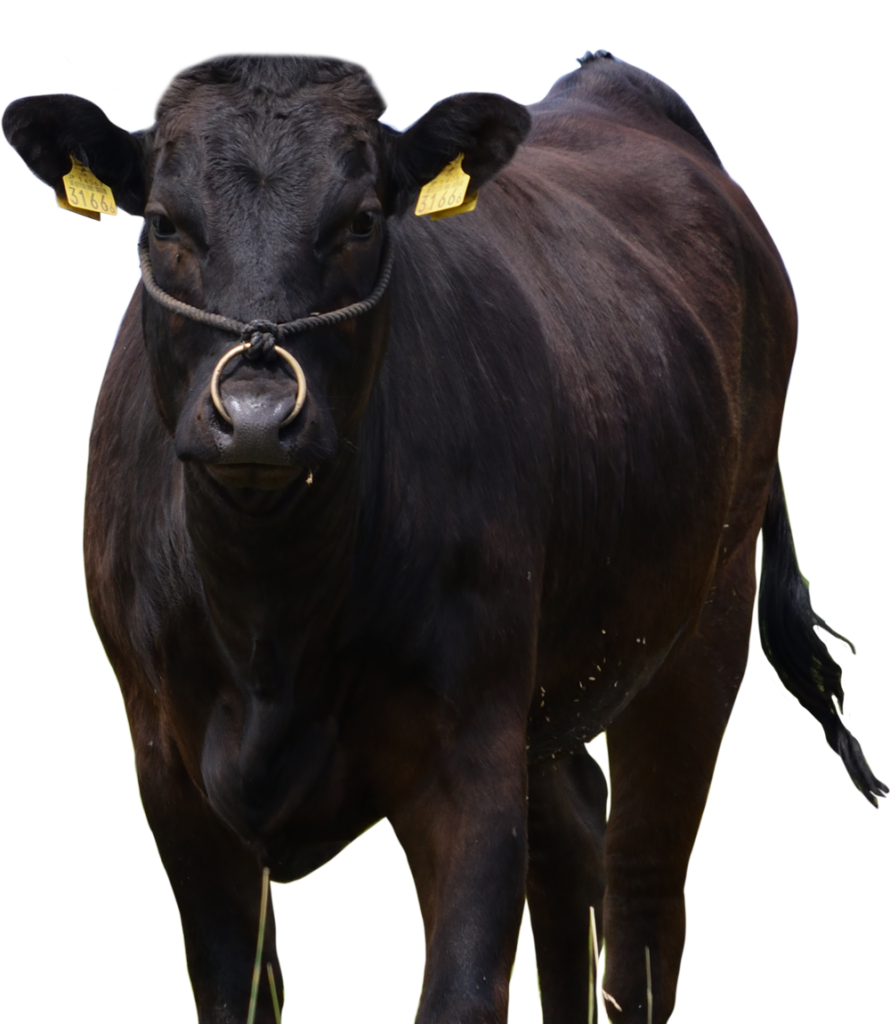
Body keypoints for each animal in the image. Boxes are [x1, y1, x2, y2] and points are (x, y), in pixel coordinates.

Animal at [3, 48, 885, 1024]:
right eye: (162, 222)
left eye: (361, 220)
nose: (259, 416)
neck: (272, 617)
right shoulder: (168, 762)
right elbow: (233, 990)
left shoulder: (467, 750)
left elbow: (463, 987)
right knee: (573, 852)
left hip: (705, 613)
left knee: (644, 894)